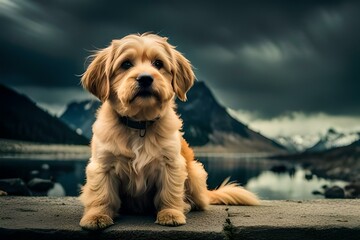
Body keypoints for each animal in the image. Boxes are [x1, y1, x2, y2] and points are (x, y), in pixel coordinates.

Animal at [79, 32, 258, 230]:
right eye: (126, 64)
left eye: (158, 63)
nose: (145, 78)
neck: (140, 124)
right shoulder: (102, 165)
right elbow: (101, 194)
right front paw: (97, 216)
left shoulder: (171, 163)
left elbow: (169, 192)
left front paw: (170, 213)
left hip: (195, 173)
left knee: (198, 201)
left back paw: (185, 205)